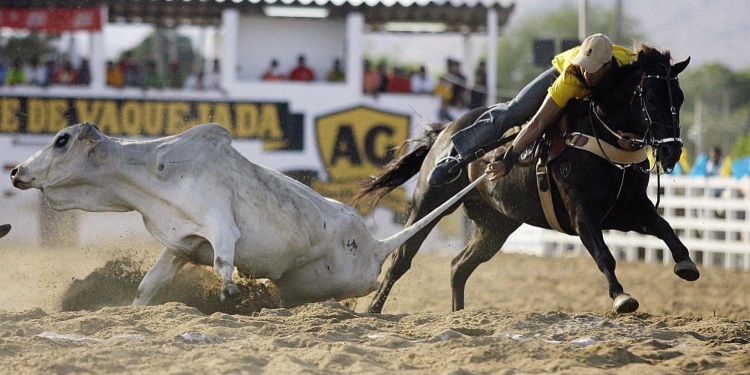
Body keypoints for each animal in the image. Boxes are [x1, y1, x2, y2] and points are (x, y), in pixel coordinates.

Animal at [11, 124, 478, 308]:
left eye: (61, 139)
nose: (15, 171)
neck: (155, 167)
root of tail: (375, 244)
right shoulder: (181, 245)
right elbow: (149, 286)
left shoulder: (221, 225)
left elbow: (224, 261)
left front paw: (231, 292)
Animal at [356, 45, 700, 316]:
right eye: (651, 97)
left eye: (681, 97)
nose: (671, 150)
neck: (601, 136)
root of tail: (444, 130)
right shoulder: (582, 214)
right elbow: (604, 254)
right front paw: (621, 297)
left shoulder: (628, 210)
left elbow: (665, 228)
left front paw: (686, 263)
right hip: (428, 204)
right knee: (400, 259)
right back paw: (373, 309)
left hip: (495, 225)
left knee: (458, 267)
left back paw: (458, 314)